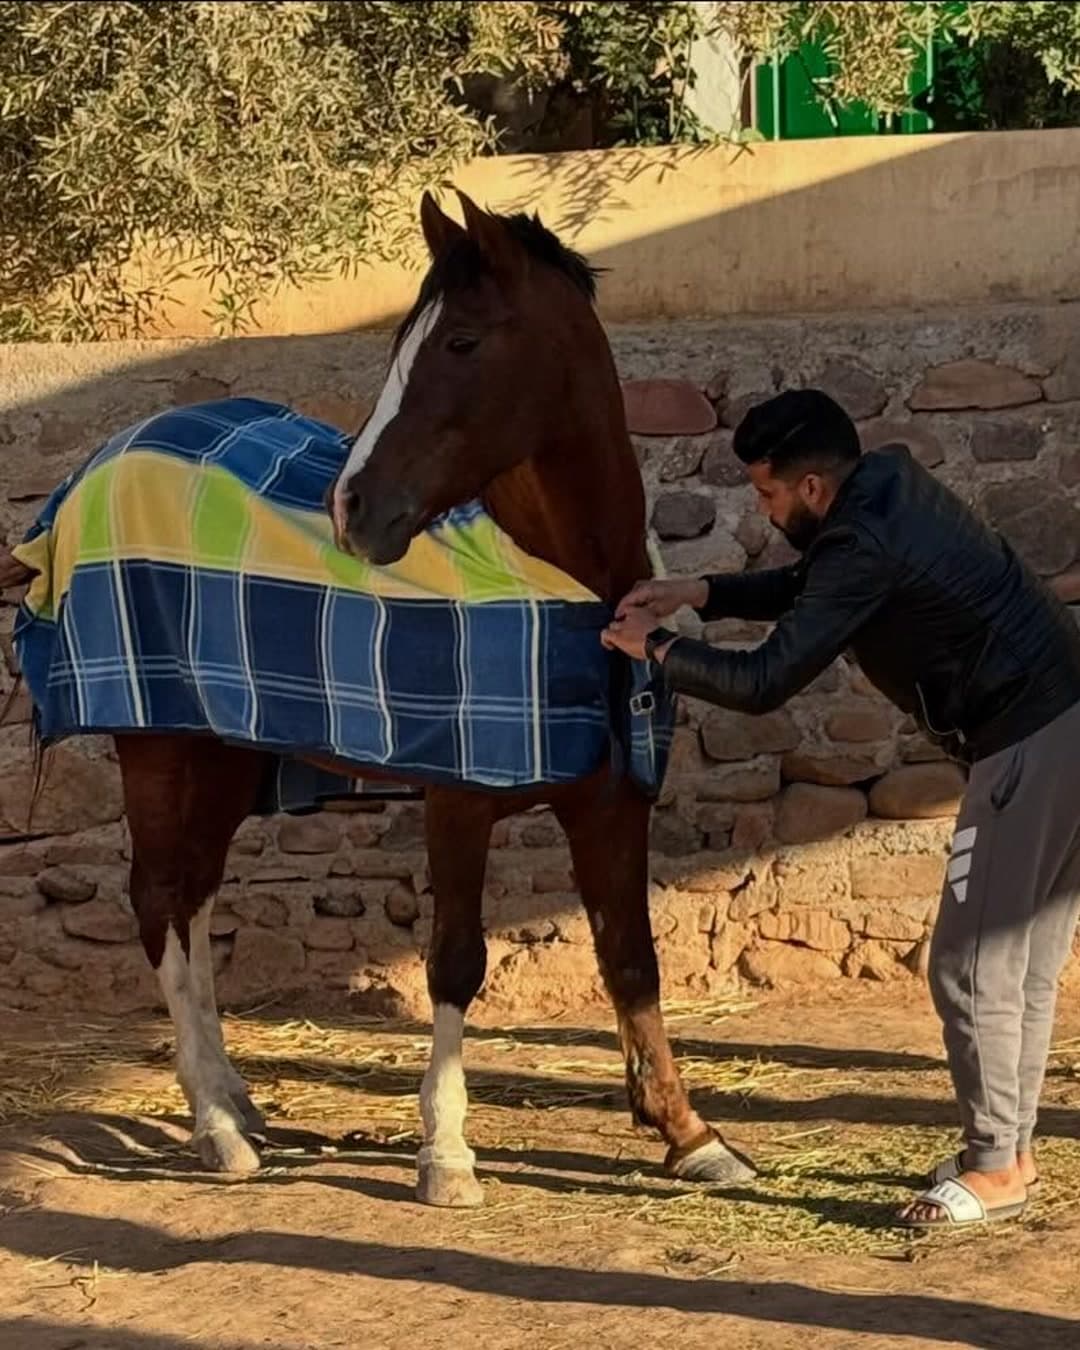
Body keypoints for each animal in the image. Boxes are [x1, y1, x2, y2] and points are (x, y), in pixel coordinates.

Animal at [4, 189, 754, 1206]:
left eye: (462, 342)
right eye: (406, 340)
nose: (352, 509)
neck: (561, 586)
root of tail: (96, 468)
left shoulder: (610, 798)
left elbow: (631, 959)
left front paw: (688, 1133)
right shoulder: (457, 799)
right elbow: (457, 961)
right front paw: (447, 1151)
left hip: (226, 753)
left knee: (193, 897)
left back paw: (236, 1102)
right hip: (157, 747)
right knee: (159, 899)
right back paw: (216, 1129)